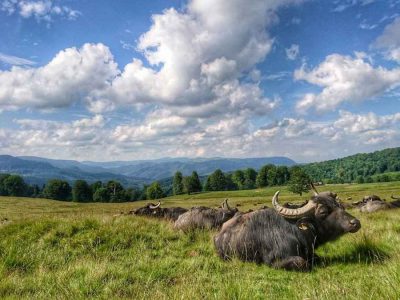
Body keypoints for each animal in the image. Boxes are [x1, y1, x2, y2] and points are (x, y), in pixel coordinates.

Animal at [214, 192, 360, 272]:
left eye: (339, 206)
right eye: (323, 212)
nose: (355, 223)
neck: (296, 231)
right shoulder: (274, 261)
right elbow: (303, 263)